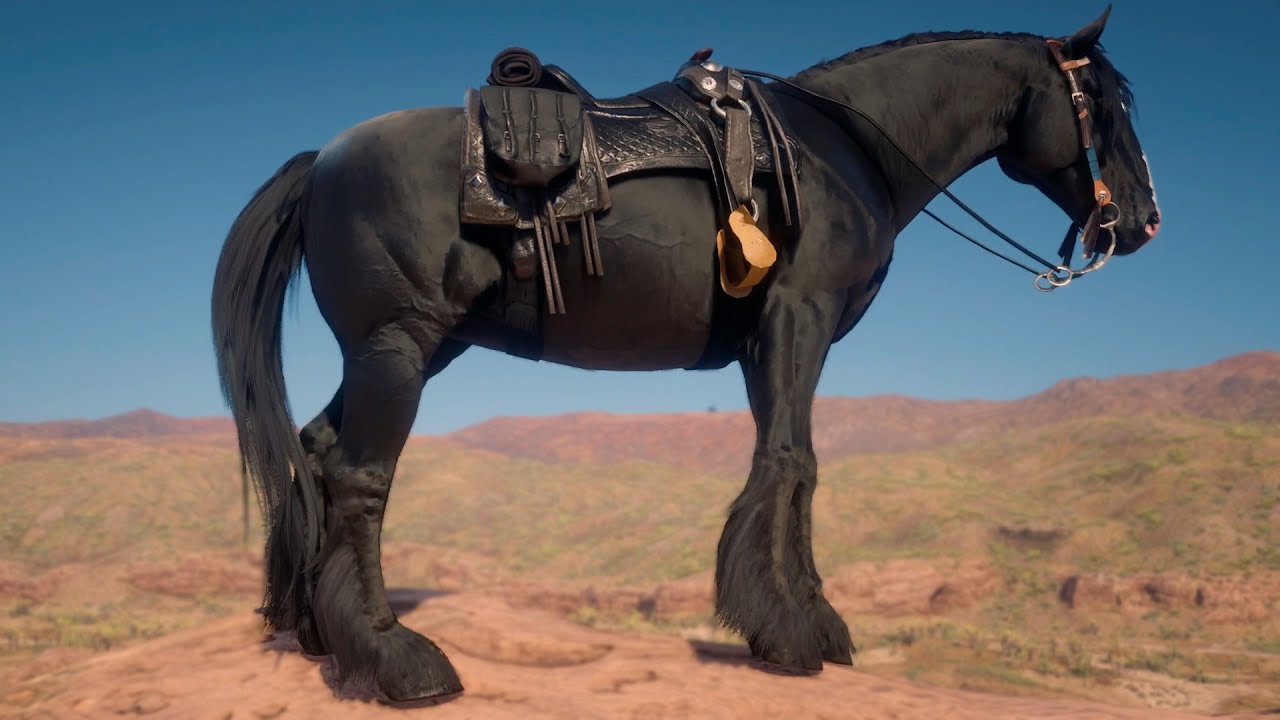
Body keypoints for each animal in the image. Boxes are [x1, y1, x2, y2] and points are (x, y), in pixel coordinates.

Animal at [212, 8, 1161, 701]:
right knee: (360, 478)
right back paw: (395, 659)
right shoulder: (798, 314)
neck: (841, 150)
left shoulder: (769, 340)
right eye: (1105, 106)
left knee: (316, 451)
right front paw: (789, 631)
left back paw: (316, 633)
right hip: (398, 346)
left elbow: (794, 465)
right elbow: (792, 461)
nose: (1145, 221)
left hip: (409, 349)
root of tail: (321, 162)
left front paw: (811, 622)